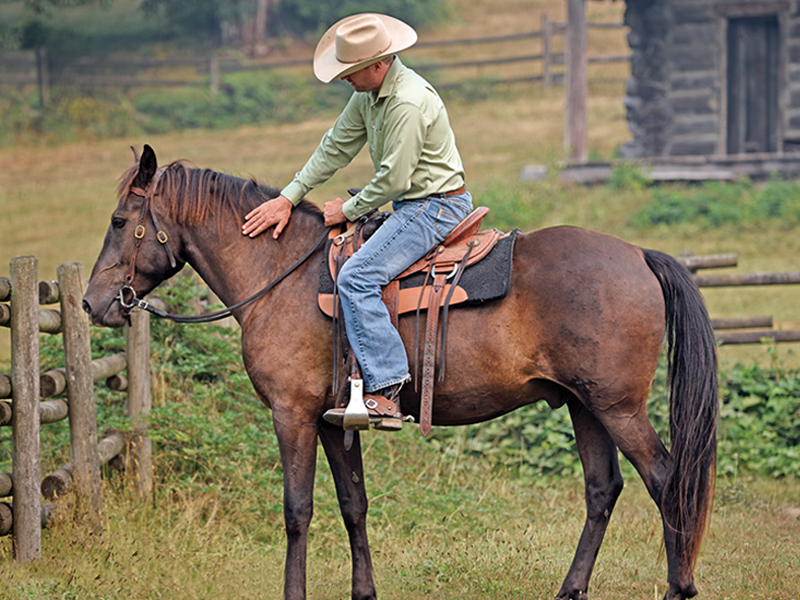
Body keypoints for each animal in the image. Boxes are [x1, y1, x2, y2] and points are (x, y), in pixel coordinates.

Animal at [82, 145, 718, 600]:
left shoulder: (293, 416)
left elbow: (296, 511)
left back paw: (678, 588)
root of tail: (638, 255)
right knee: (602, 489)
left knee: (666, 481)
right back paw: (570, 590)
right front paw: (364, 592)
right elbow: (353, 504)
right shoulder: (334, 421)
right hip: (585, 407)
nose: (92, 304)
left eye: (117, 220)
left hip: (618, 408)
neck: (280, 275)